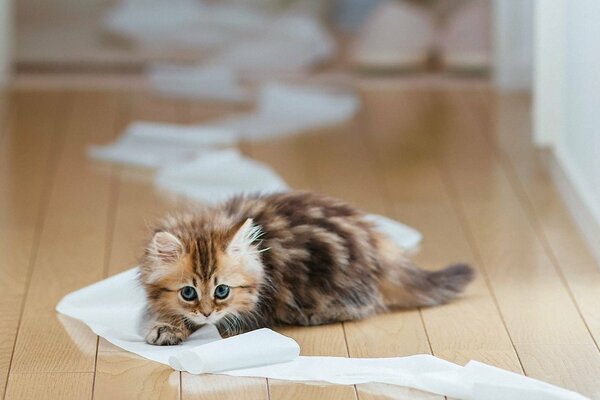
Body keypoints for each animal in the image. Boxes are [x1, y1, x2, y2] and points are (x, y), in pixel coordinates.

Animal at [141, 191, 474, 344]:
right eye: (188, 293)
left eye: (222, 291)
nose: (208, 312)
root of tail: (375, 241)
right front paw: (167, 322)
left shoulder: (254, 310)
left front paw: (171, 327)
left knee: (364, 305)